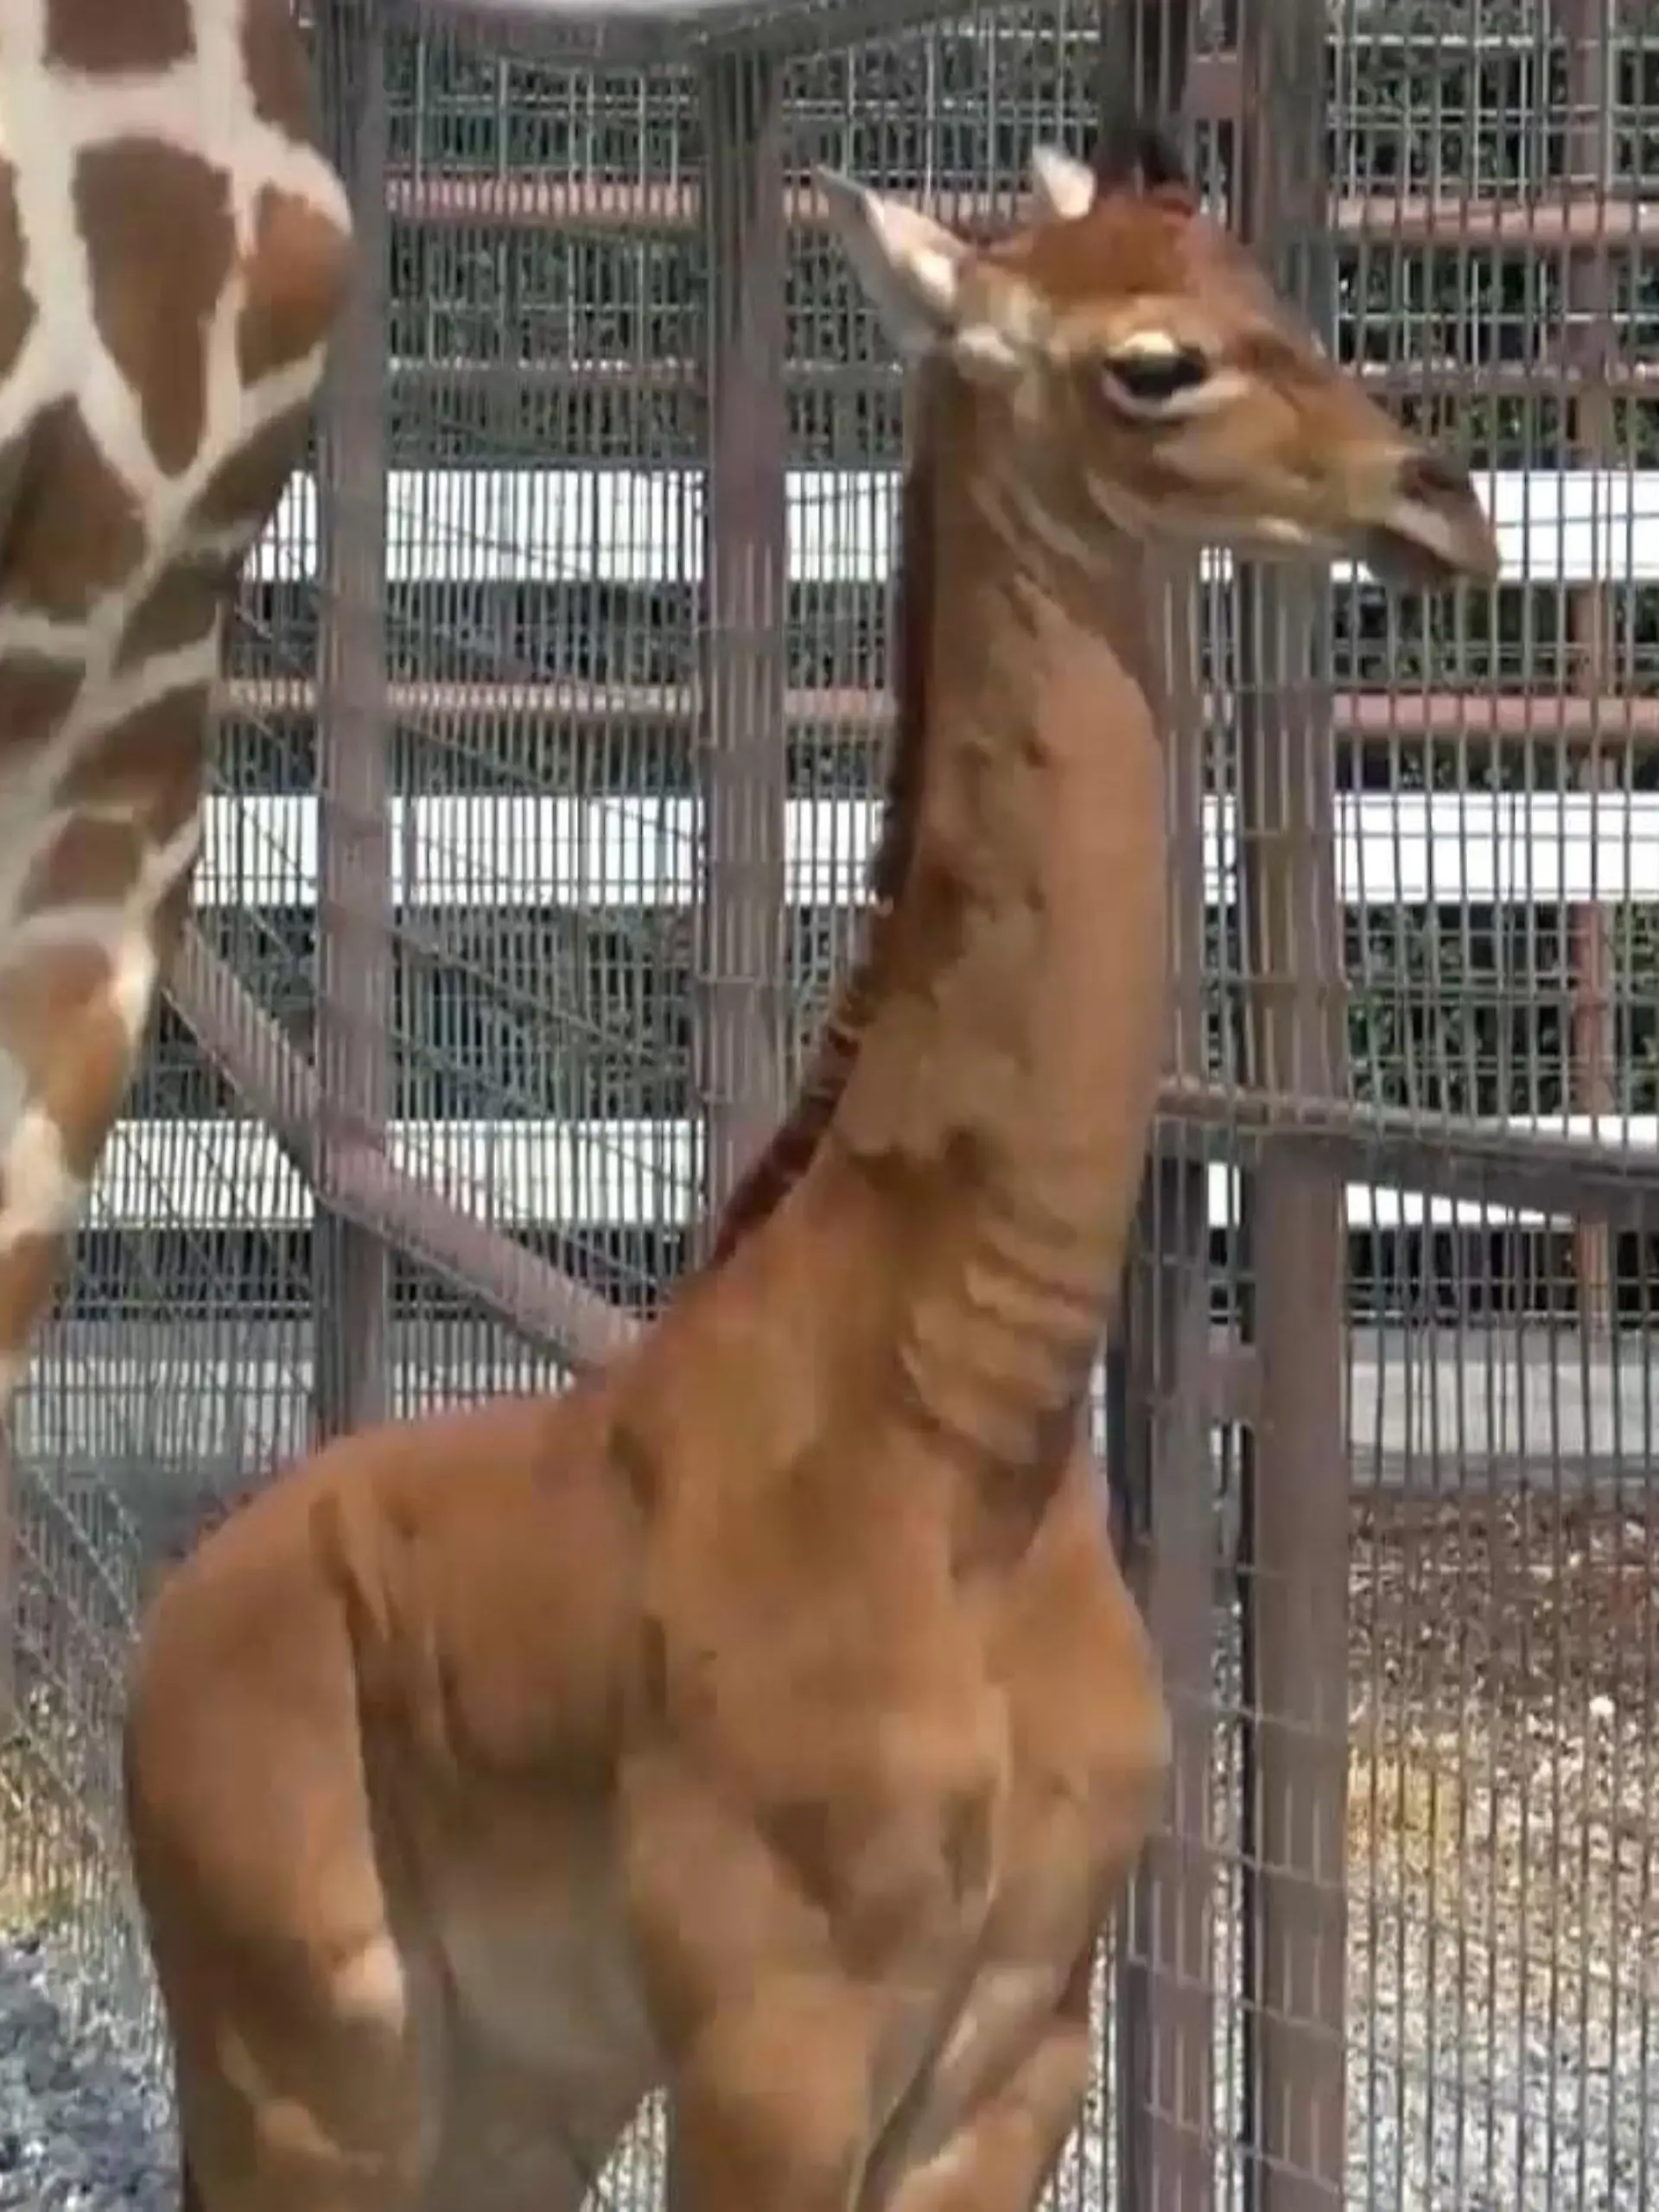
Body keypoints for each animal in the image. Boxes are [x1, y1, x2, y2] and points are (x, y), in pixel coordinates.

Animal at [122, 130, 1500, 2212]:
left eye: (1269, 281)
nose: (1444, 501)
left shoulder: (1021, 2037)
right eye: (1153, 363)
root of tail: (153, 1659)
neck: (964, 1447)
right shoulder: (773, 2038)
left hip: (508, 2088)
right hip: (308, 2072)